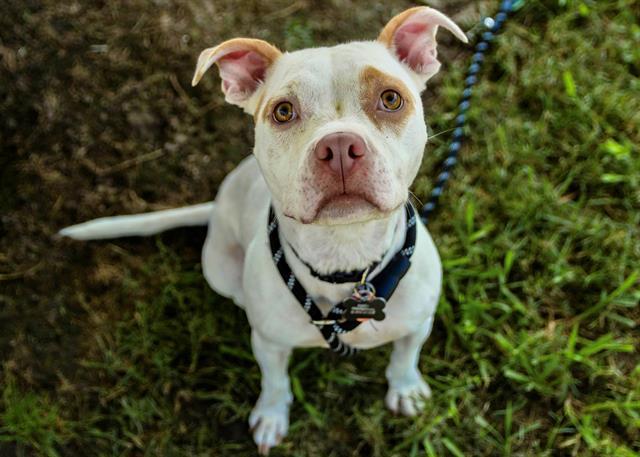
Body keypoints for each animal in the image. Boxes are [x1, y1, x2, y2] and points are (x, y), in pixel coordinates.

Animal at [60, 7, 468, 452]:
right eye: (284, 111)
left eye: (391, 99)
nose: (340, 147)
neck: (346, 256)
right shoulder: (268, 344)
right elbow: (274, 382)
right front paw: (272, 415)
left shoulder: (418, 324)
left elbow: (405, 357)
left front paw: (406, 388)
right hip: (218, 268)